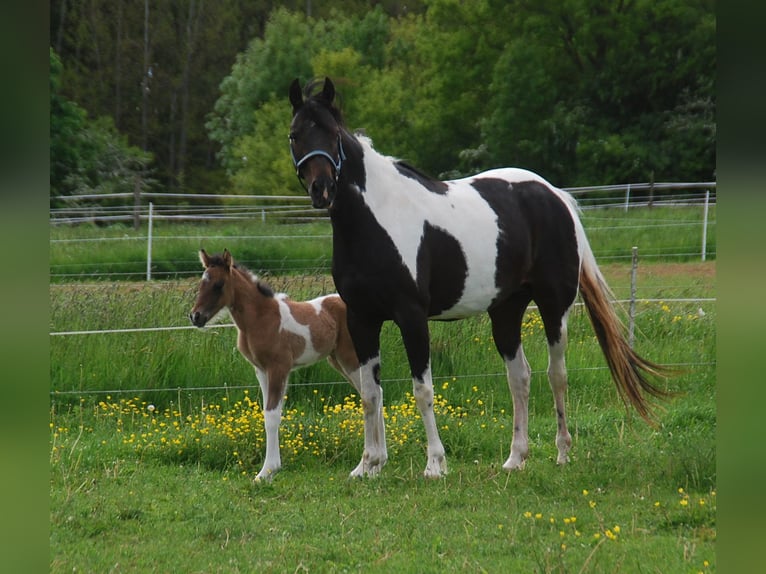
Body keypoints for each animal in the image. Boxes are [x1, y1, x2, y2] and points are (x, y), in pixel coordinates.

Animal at [188, 248, 383, 481]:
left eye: (218, 285)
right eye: (201, 283)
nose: (195, 316)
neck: (261, 317)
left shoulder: (278, 367)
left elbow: (273, 415)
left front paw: (267, 471)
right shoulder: (261, 370)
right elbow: (266, 414)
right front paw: (267, 471)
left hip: (351, 358)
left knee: (372, 396)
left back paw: (365, 467)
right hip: (338, 360)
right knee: (377, 394)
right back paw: (376, 467)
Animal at [286, 77, 671, 479]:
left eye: (332, 133)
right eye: (295, 135)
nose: (321, 189)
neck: (375, 220)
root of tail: (555, 196)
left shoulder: (411, 317)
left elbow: (422, 390)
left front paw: (435, 464)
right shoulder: (362, 319)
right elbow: (369, 392)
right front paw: (368, 465)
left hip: (554, 306)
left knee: (556, 374)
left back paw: (563, 452)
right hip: (506, 310)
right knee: (520, 378)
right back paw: (516, 458)